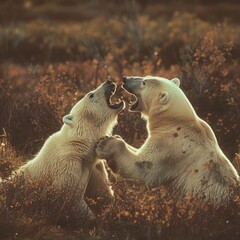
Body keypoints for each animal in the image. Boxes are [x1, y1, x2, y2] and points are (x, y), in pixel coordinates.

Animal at [16, 79, 124, 219]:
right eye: (91, 95)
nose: (109, 81)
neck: (79, 145)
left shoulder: (93, 167)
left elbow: (103, 193)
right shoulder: (68, 164)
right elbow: (68, 196)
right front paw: (92, 218)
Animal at [96, 75, 240, 202]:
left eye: (144, 83)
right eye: (145, 77)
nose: (125, 79)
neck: (176, 121)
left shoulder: (171, 145)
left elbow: (143, 170)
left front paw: (107, 143)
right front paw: (116, 137)